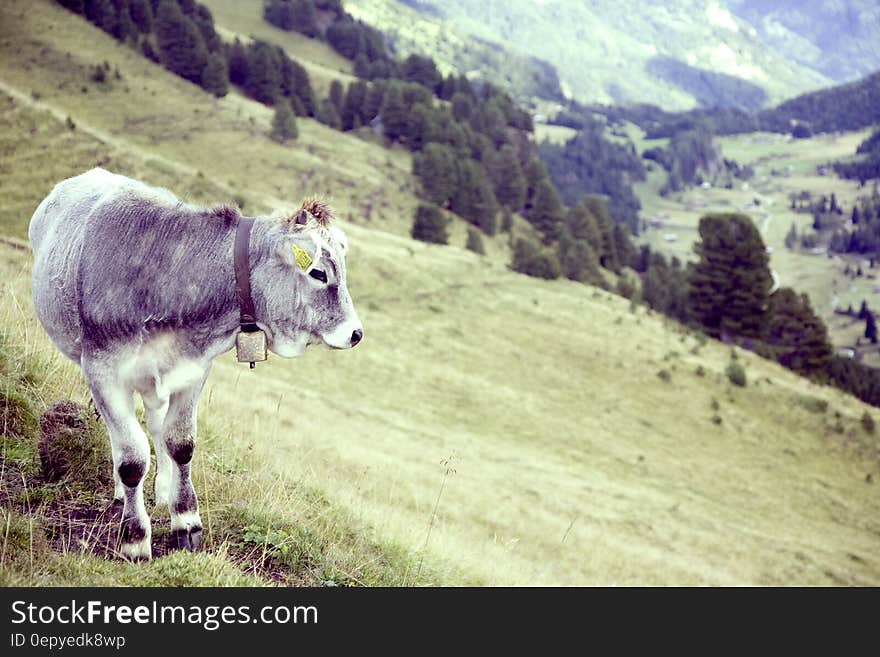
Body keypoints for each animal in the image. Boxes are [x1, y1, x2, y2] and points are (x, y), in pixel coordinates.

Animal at [29, 168, 362, 560]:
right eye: (318, 273)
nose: (355, 333)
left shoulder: (192, 371)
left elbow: (180, 443)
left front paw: (186, 520)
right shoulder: (102, 372)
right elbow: (131, 459)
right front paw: (135, 538)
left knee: (155, 425)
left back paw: (162, 489)